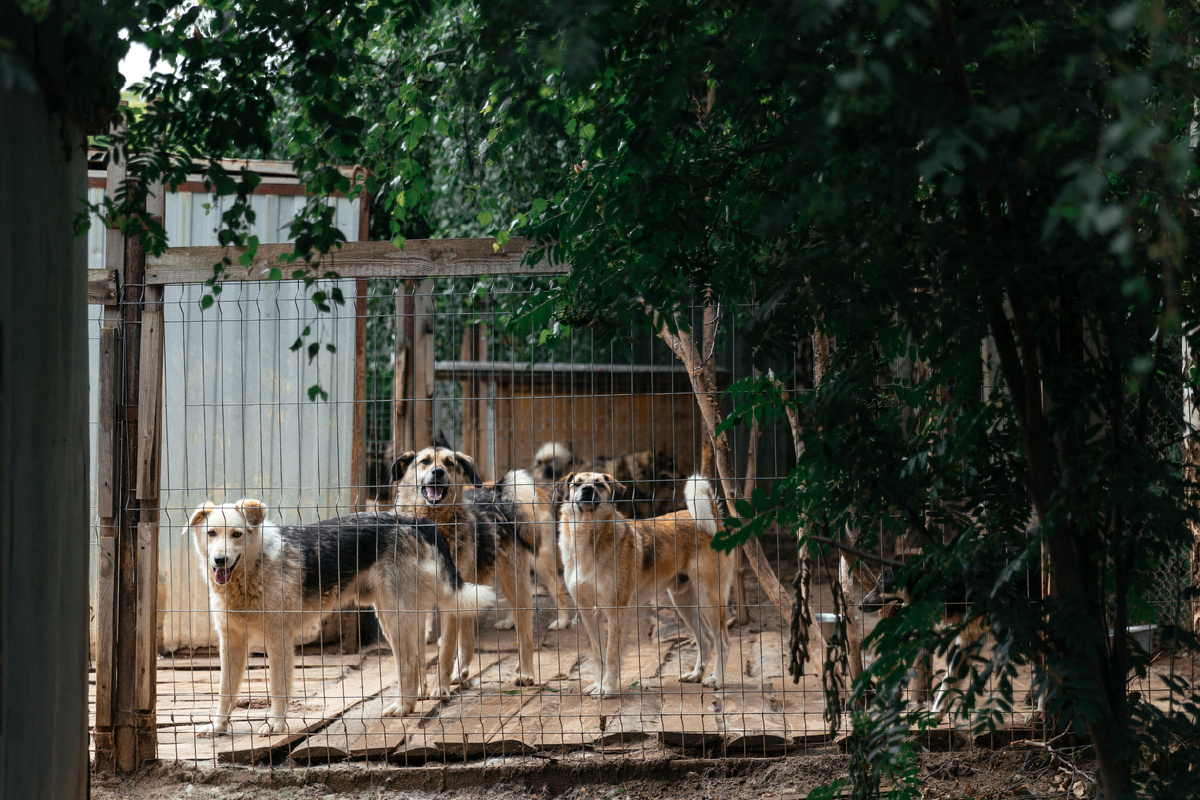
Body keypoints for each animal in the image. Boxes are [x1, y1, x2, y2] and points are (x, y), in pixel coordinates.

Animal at [183, 503, 492, 734]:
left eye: (236, 534)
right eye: (211, 534)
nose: (219, 561)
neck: (254, 567)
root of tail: (414, 521)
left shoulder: (278, 639)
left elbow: (278, 687)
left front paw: (276, 724)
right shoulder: (231, 642)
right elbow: (225, 690)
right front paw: (218, 726)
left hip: (393, 615)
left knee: (408, 662)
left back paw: (403, 708)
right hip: (397, 616)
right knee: (416, 659)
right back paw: (411, 702)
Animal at [552, 470, 729, 695]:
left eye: (599, 485)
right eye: (577, 484)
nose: (587, 489)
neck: (587, 537)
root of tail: (716, 517)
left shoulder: (615, 612)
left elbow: (611, 655)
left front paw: (607, 688)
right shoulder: (588, 613)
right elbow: (598, 655)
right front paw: (598, 684)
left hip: (709, 599)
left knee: (722, 641)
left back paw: (717, 680)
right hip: (683, 600)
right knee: (705, 638)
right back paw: (696, 675)